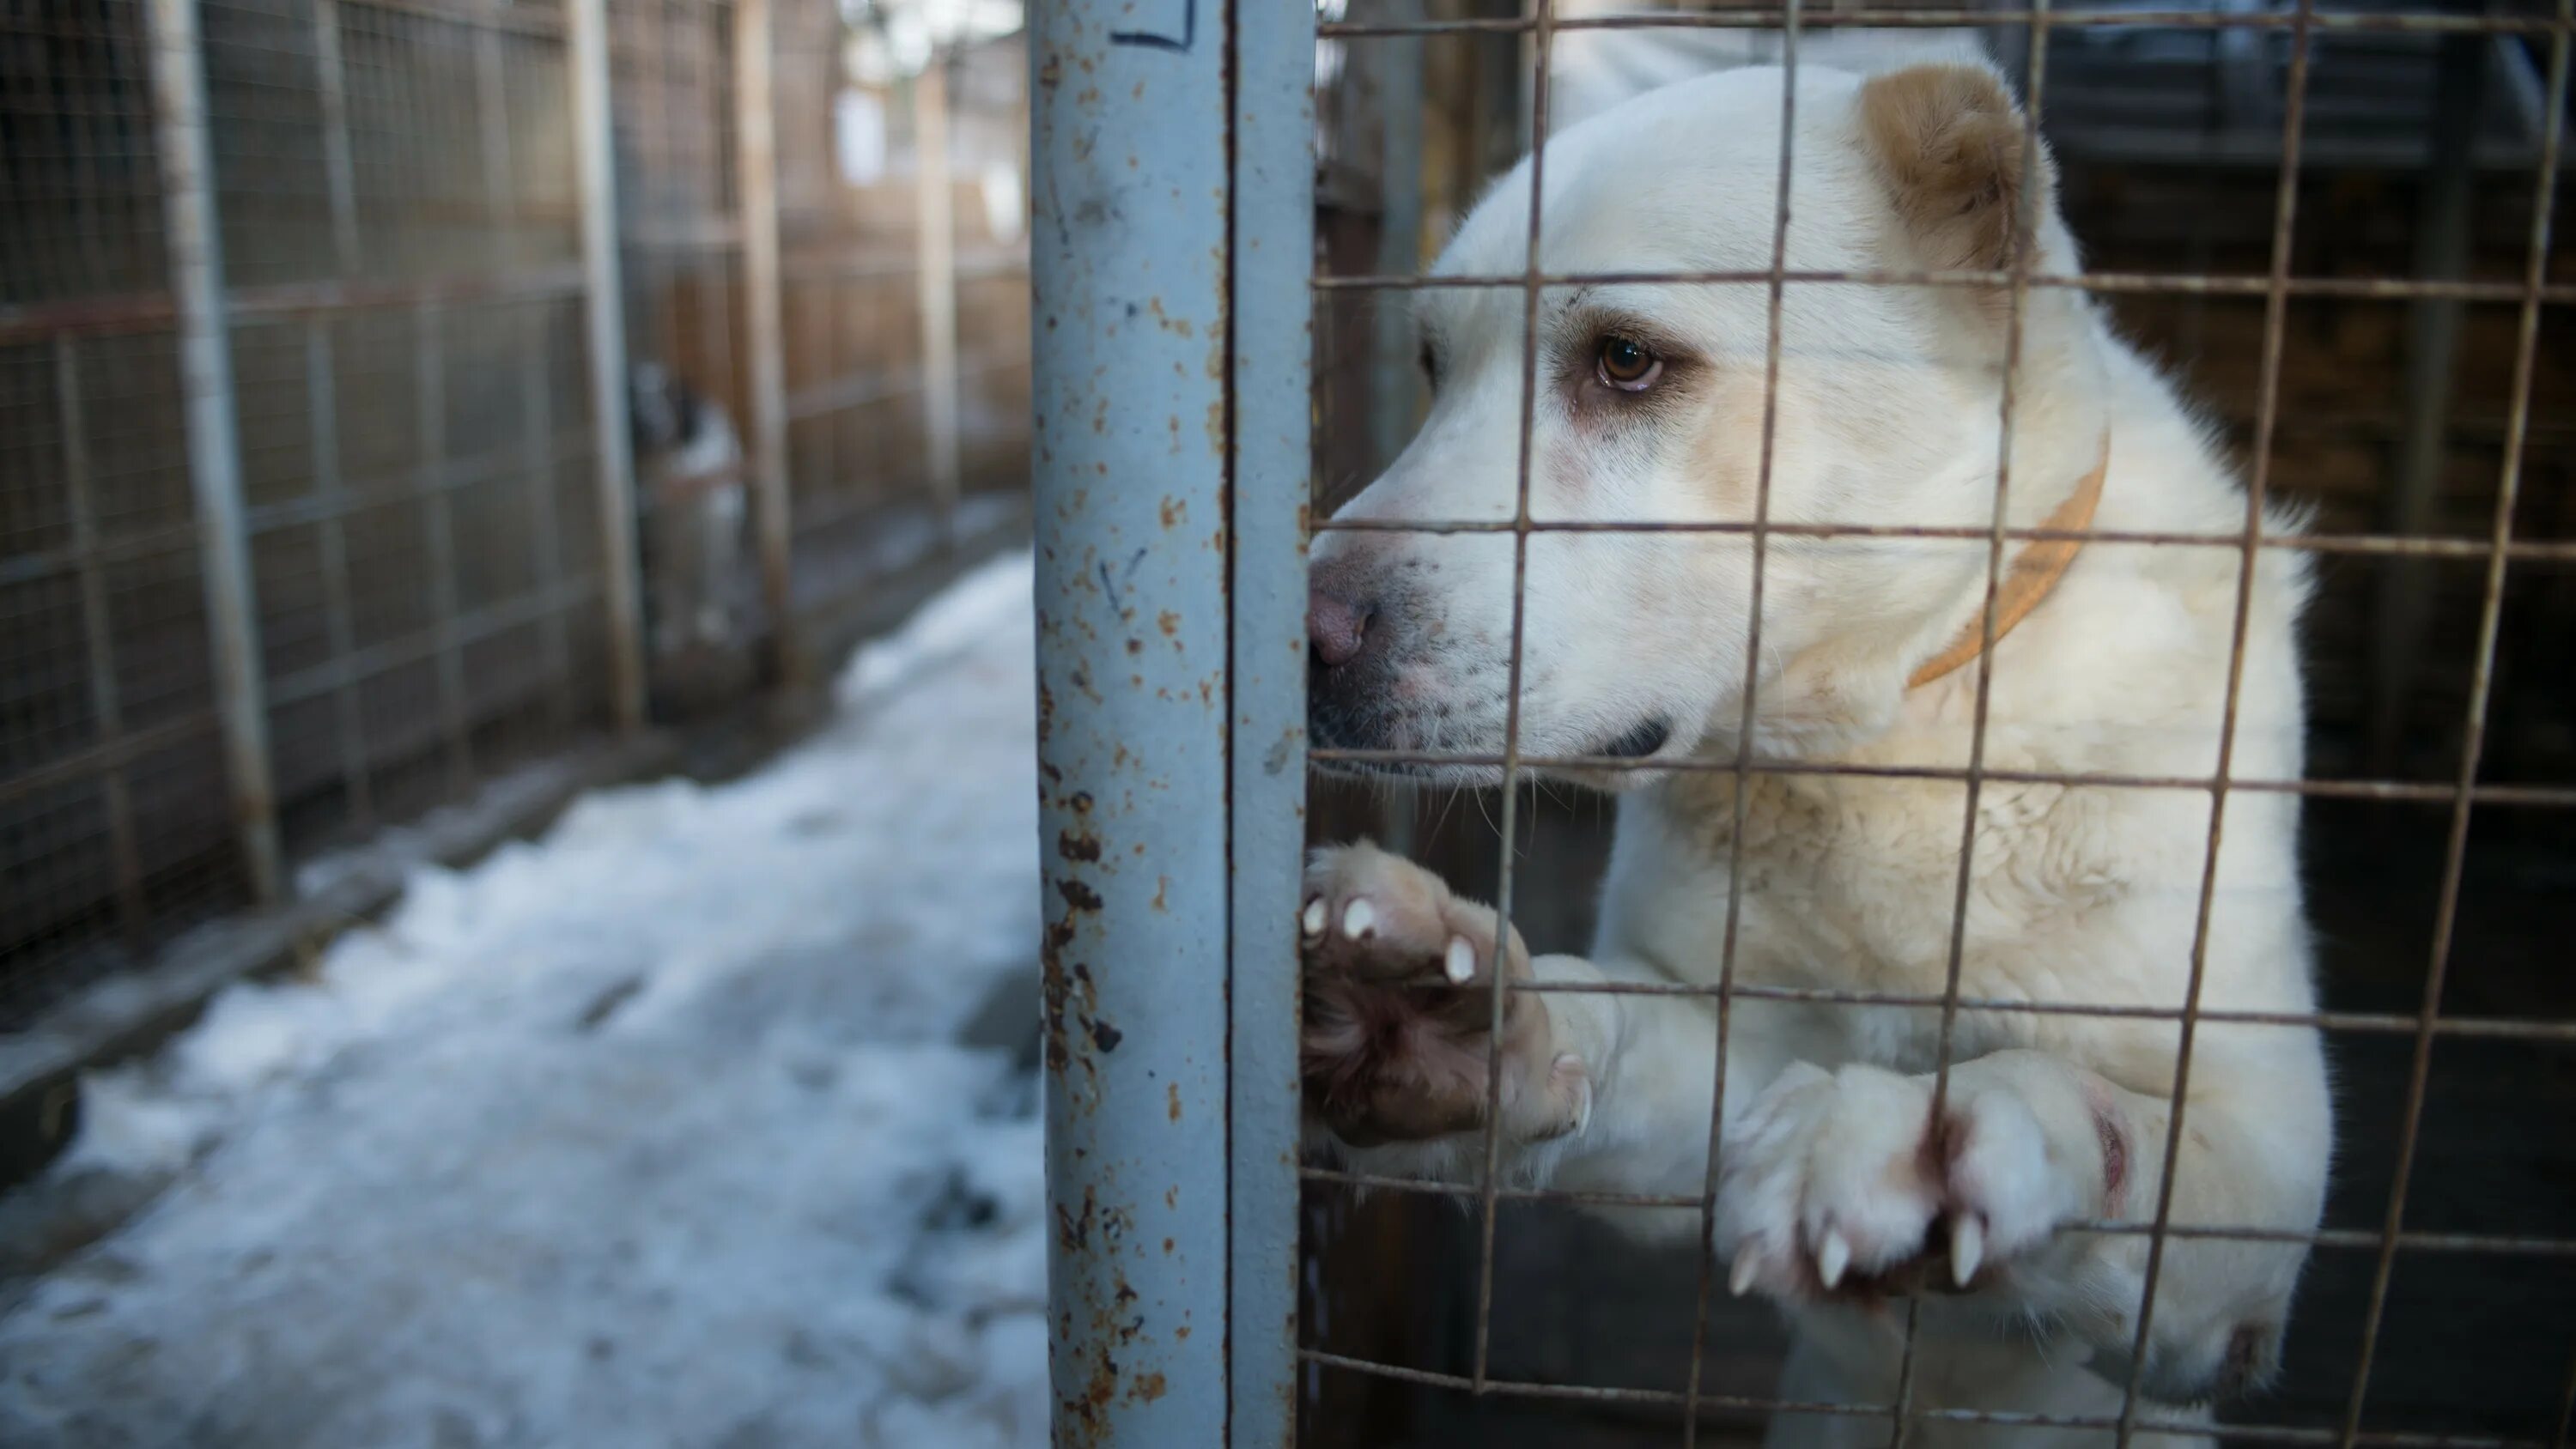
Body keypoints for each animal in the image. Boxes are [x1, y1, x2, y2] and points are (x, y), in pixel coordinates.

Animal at [1298, 56, 2329, 1449]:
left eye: (1627, 360)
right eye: (1430, 366)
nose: (1300, 636)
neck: (1890, 753)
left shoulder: (2265, 1185)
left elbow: (2113, 1123)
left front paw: (1938, 1129)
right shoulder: (1718, 1055)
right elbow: (1607, 1039)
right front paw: (1467, 1029)